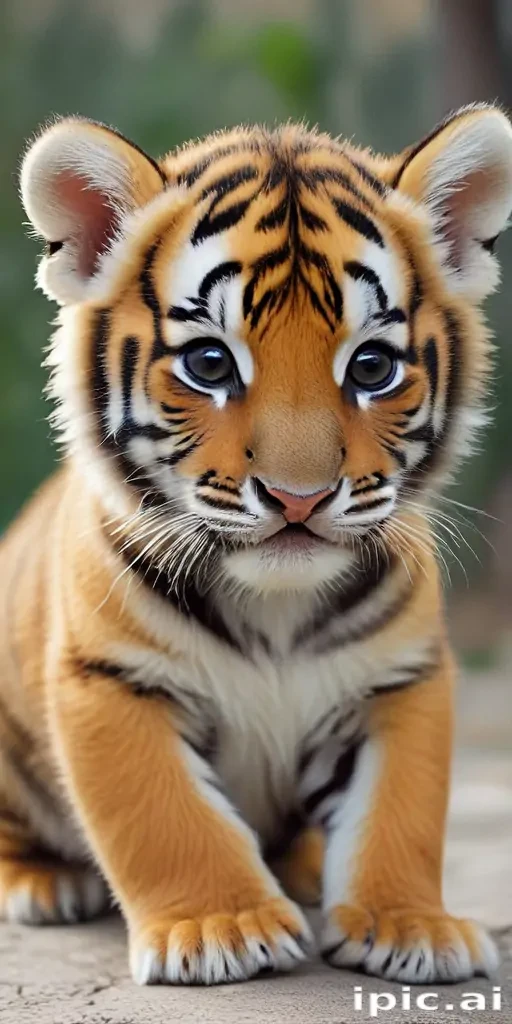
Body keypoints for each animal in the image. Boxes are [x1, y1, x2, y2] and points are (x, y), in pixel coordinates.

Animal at [0, 103, 510, 987]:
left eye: (371, 368)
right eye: (210, 363)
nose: (299, 496)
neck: (275, 606)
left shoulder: (399, 679)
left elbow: (400, 810)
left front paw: (411, 925)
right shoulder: (108, 677)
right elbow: (166, 814)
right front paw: (222, 928)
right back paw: (43, 882)